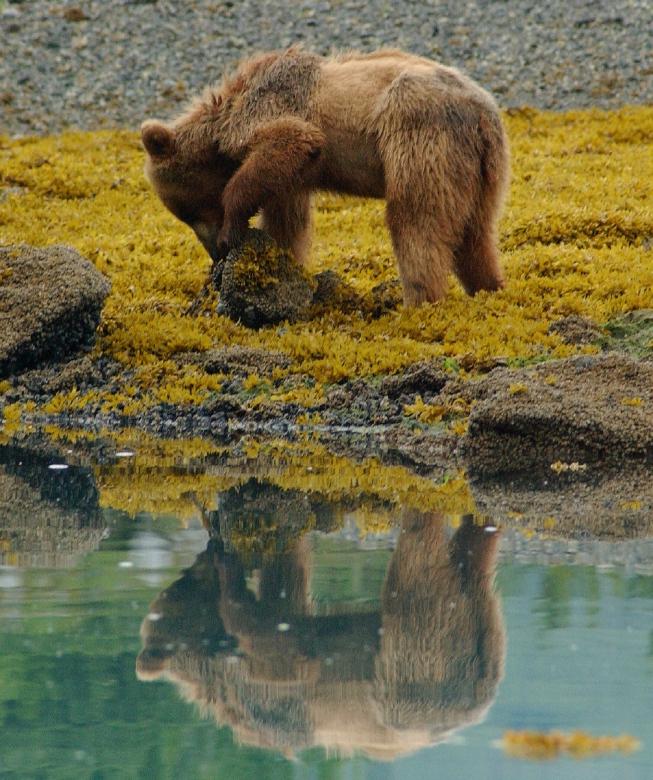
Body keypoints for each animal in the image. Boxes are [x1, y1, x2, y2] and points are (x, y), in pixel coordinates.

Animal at [141, 47, 510, 307]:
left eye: (192, 212)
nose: (213, 253)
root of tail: (483, 113)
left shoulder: (272, 109)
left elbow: (294, 138)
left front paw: (233, 230)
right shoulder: (292, 179)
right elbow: (287, 220)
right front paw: (282, 264)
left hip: (420, 137)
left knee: (415, 220)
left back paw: (419, 299)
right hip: (482, 171)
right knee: (475, 233)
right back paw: (488, 286)